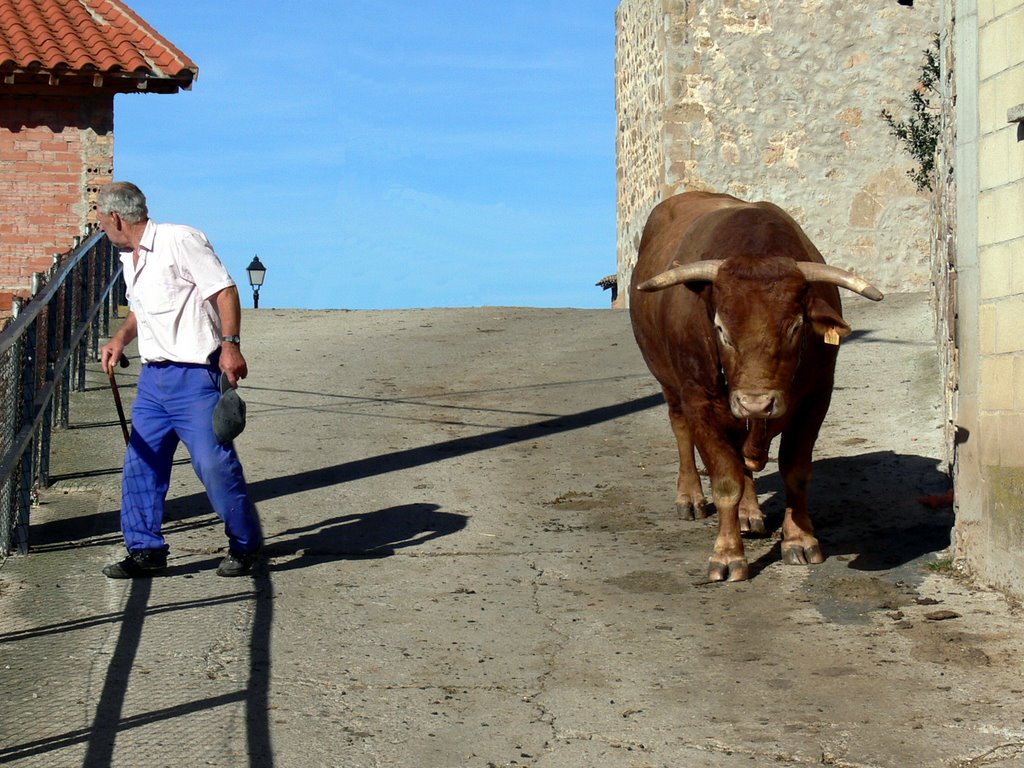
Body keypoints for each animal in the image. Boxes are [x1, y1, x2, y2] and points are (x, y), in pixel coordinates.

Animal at [626, 192, 884, 581]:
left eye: (795, 328)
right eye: (720, 329)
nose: (756, 404)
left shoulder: (816, 397)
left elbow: (795, 471)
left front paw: (799, 540)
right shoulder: (699, 401)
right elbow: (726, 481)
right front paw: (728, 554)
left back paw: (749, 513)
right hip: (670, 385)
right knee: (682, 432)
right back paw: (689, 497)